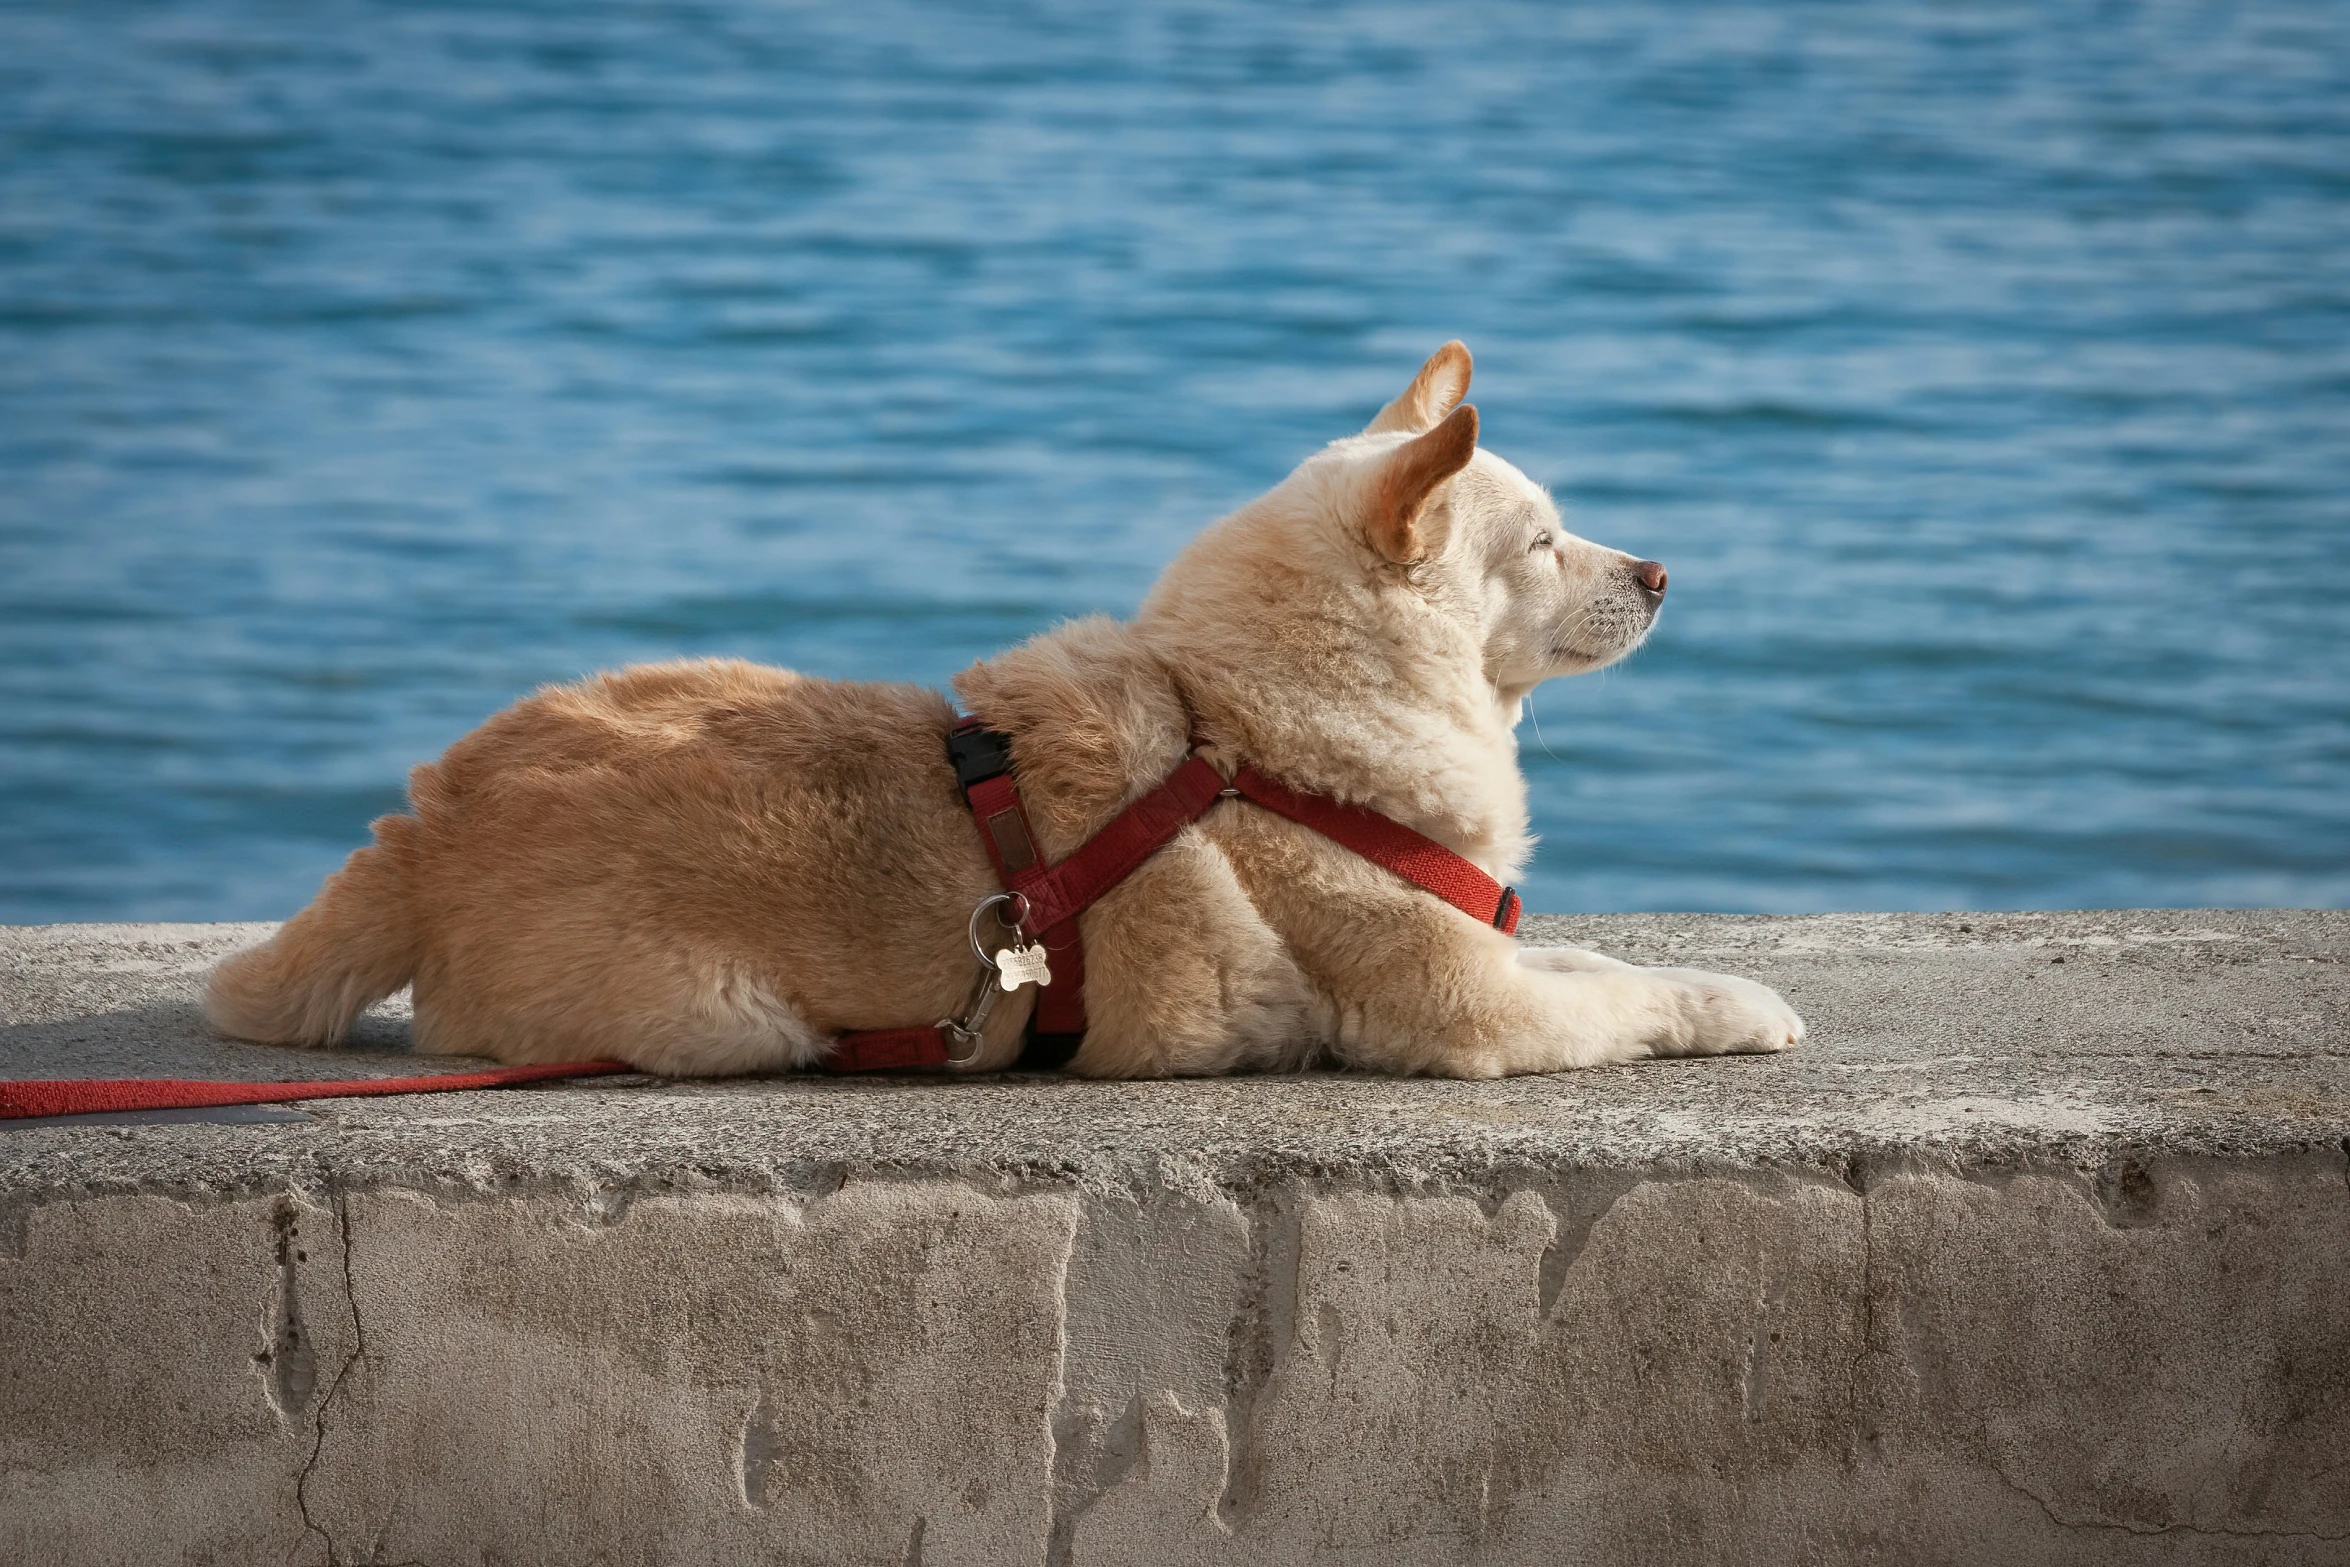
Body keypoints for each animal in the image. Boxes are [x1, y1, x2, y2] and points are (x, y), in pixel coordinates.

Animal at [211, 340, 1804, 1080]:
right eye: (1541, 541)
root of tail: (429, 825)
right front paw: (1740, 1003)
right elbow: (1625, 996)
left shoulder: (1490, 941)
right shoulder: (1470, 1008)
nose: (1661, 569)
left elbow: (1600, 955)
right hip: (725, 1017)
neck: (1243, 733)